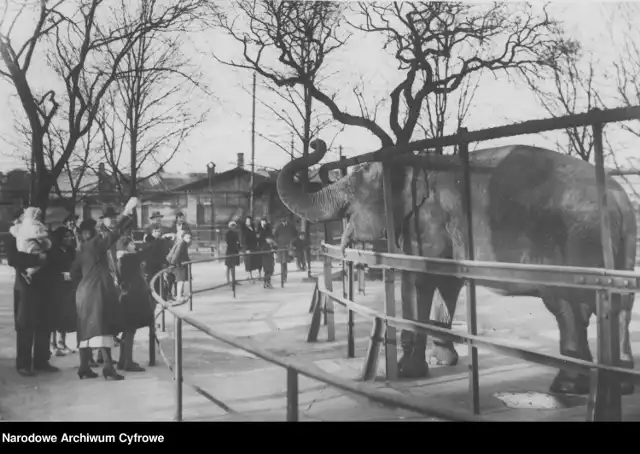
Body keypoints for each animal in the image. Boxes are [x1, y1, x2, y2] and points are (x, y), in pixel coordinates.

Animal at [278, 137, 636, 394]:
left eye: (353, 189)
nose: (317, 143)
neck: (416, 162)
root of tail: (620, 200)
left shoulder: (427, 221)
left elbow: (420, 278)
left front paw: (408, 371)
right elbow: (447, 281)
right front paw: (443, 360)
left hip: (573, 243)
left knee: (569, 307)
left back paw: (568, 386)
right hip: (622, 251)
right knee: (619, 305)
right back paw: (621, 382)